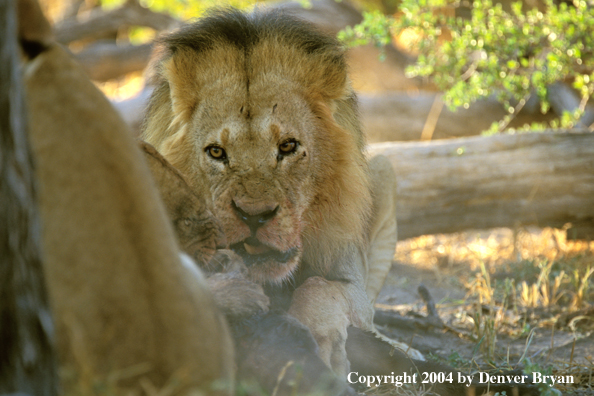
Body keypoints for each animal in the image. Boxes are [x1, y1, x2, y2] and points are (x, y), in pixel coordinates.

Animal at [144, 7, 400, 376]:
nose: (254, 216)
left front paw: (325, 346)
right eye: (217, 152)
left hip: (384, 169)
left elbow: (318, 287)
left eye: (288, 146)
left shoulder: (354, 282)